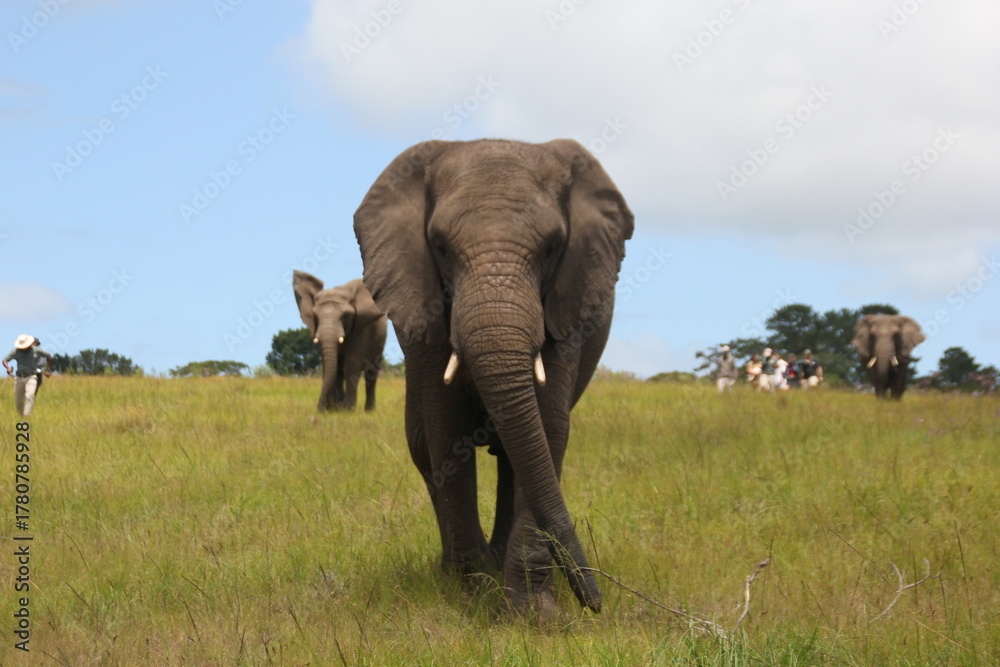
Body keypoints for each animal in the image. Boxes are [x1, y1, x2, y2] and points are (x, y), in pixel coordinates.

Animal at [292, 272, 387, 411]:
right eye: (316, 317)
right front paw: (336, 410)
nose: (320, 409)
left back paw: (369, 411)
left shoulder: (360, 331)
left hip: (380, 341)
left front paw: (348, 410)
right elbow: (333, 368)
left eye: (346, 316)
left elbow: (351, 365)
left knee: (371, 373)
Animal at [354, 138, 633, 616]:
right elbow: (447, 432)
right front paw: (471, 593)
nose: (596, 603)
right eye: (440, 247)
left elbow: (548, 429)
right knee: (424, 447)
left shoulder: (567, 306)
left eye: (553, 247)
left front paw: (533, 616)